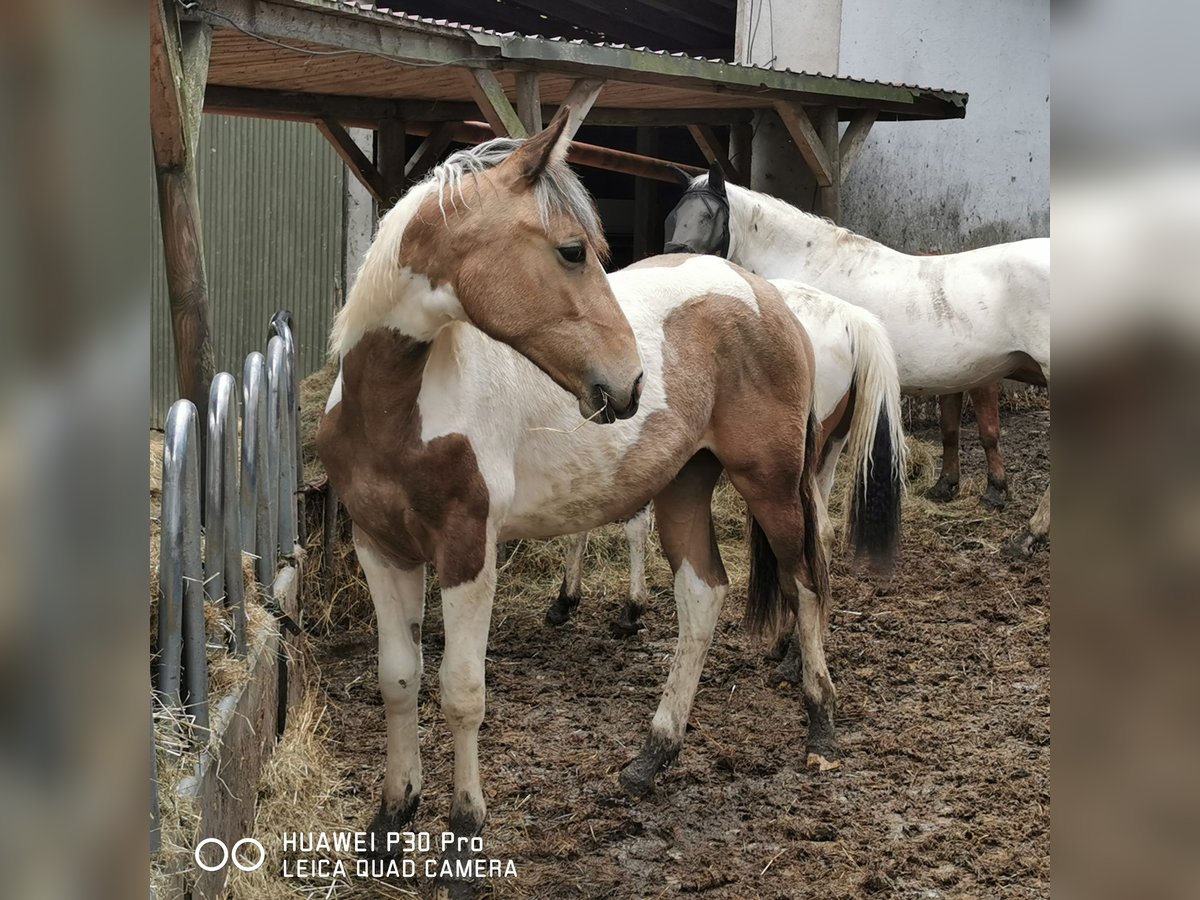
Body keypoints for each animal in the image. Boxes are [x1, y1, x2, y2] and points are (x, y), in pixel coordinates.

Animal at [546, 281, 907, 640]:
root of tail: (850, 317)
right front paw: (570, 599)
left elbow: (628, 528)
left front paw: (626, 608)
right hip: (824, 453)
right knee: (822, 533)